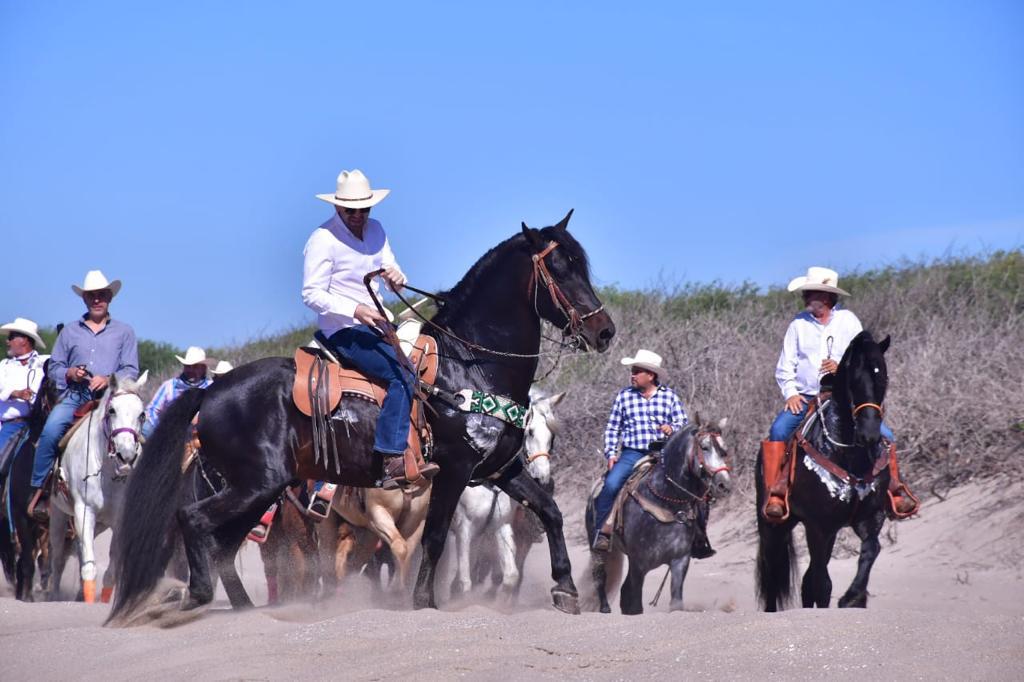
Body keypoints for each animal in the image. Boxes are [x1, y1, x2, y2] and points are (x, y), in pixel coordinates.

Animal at [48, 372, 147, 602]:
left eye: (142, 415)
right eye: (112, 410)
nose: (126, 456)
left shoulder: (119, 519)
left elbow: (111, 569)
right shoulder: (84, 511)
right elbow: (88, 565)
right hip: (58, 515)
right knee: (57, 556)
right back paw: (54, 594)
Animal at [446, 387, 565, 602]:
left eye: (551, 436)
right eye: (529, 432)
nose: (543, 478)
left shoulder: (500, 526)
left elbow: (509, 576)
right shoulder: (464, 528)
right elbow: (465, 581)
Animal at [585, 417, 729, 614]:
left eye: (724, 451)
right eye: (704, 447)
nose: (724, 484)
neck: (665, 500)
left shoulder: (680, 561)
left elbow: (676, 603)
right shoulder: (638, 564)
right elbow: (635, 603)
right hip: (598, 549)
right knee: (599, 577)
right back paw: (605, 608)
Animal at [753, 329, 897, 610]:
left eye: (882, 374)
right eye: (854, 378)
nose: (869, 433)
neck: (849, 455)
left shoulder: (868, 517)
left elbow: (871, 550)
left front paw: (854, 597)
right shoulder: (819, 525)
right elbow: (821, 581)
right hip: (773, 526)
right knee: (774, 572)